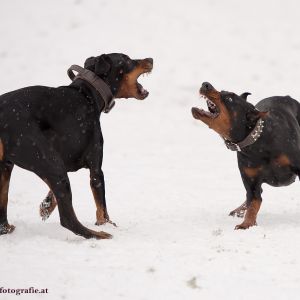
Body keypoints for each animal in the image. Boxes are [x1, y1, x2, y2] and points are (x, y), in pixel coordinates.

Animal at [0, 52, 154, 239]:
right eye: (128, 60)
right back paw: (101, 234)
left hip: (8, 167)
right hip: (50, 162)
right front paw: (107, 224)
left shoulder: (65, 157)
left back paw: (8, 229)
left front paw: (46, 206)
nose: (151, 59)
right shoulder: (95, 167)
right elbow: (101, 207)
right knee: (68, 220)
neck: (88, 94)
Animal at [192, 82, 300, 230]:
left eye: (230, 98)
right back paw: (239, 210)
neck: (258, 144)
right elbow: (254, 202)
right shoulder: (251, 180)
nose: (205, 84)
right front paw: (247, 223)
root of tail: (287, 96)